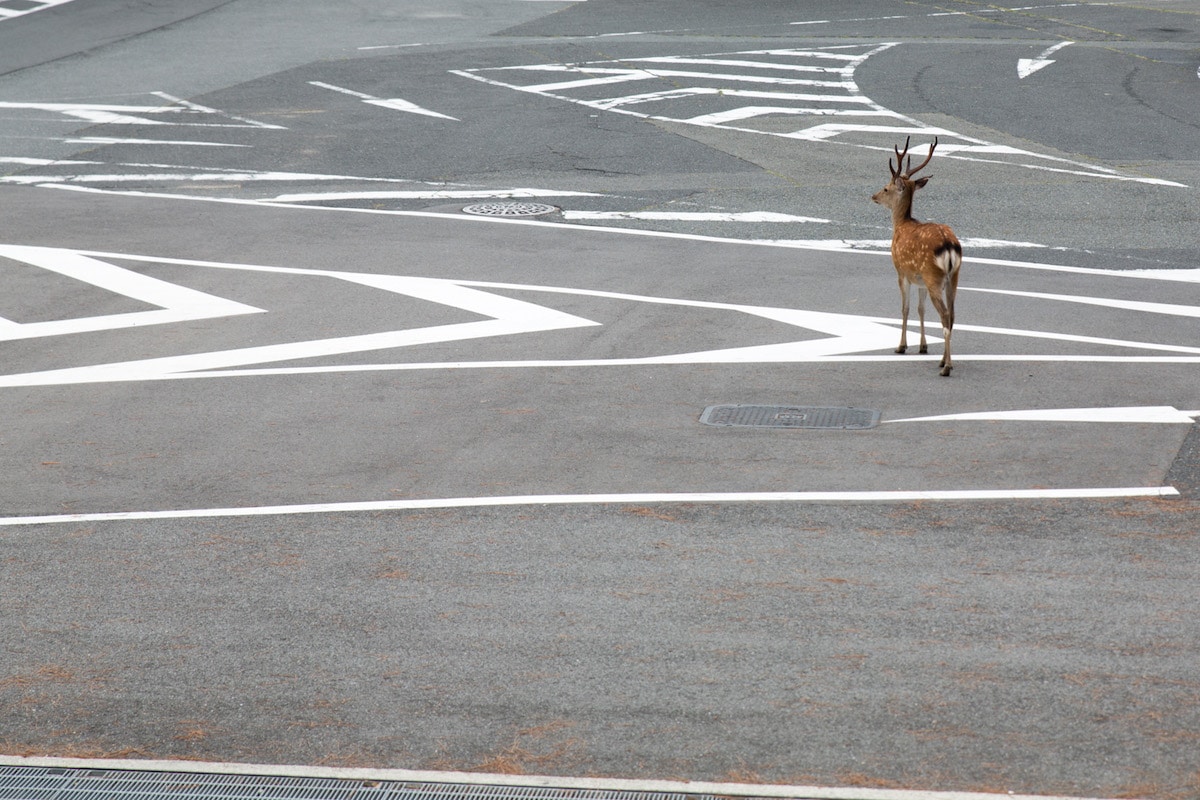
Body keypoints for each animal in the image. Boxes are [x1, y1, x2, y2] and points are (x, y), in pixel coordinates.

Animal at [868, 136, 960, 376]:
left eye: (886, 188)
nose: (873, 196)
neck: (901, 224)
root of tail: (949, 245)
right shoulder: (920, 281)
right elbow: (921, 309)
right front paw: (923, 346)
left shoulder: (902, 272)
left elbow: (905, 308)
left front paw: (901, 346)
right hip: (951, 277)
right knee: (952, 315)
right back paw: (944, 361)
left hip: (933, 276)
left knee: (945, 315)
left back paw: (946, 367)